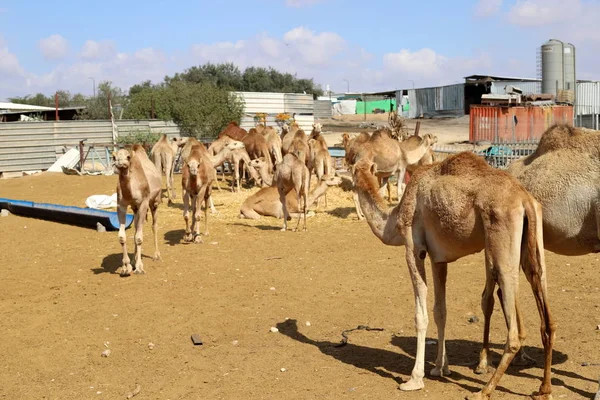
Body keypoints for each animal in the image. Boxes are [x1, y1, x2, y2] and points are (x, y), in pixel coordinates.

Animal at [112, 145, 162, 276]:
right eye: (114, 157)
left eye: (128, 157)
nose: (121, 163)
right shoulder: (121, 205)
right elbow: (122, 236)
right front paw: (126, 267)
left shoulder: (143, 203)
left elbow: (139, 238)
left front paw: (139, 267)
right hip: (135, 208)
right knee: (136, 228)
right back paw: (134, 260)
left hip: (154, 202)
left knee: (154, 225)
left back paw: (157, 255)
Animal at [354, 151, 556, 400]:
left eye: (353, 168)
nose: (351, 180)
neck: (394, 218)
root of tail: (524, 199)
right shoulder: (438, 259)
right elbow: (440, 311)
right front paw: (440, 368)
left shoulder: (414, 248)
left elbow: (421, 315)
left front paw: (414, 379)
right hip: (534, 239)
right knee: (545, 306)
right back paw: (544, 389)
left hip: (503, 241)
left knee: (513, 330)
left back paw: (484, 390)